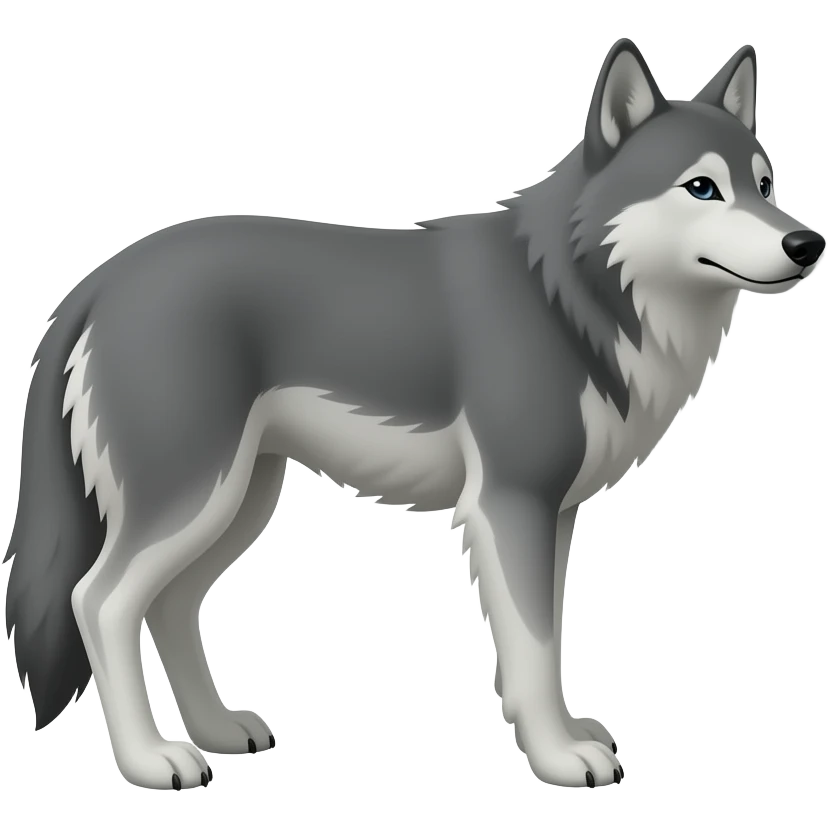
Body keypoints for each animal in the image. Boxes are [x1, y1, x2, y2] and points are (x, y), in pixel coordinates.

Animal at [5, 38, 824, 791]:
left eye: (764, 183)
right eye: (702, 188)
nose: (807, 242)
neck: (572, 294)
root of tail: (101, 279)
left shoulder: (554, 513)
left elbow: (548, 641)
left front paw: (566, 734)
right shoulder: (510, 504)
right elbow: (532, 648)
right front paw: (557, 758)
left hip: (239, 500)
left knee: (171, 604)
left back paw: (216, 731)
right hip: (193, 497)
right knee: (100, 601)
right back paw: (150, 760)